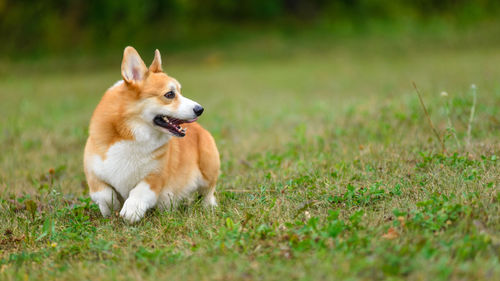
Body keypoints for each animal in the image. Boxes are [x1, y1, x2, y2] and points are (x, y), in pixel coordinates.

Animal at [83, 46, 220, 223]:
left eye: (180, 92)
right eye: (170, 94)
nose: (200, 109)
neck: (131, 132)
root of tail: (200, 128)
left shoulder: (154, 177)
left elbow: (139, 191)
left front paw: (131, 210)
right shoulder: (93, 175)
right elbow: (105, 194)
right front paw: (112, 208)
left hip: (209, 166)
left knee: (208, 192)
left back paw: (208, 206)